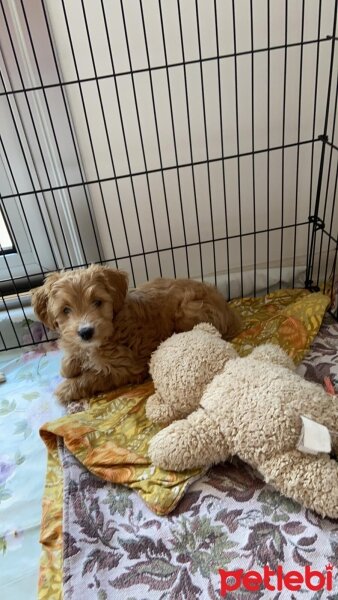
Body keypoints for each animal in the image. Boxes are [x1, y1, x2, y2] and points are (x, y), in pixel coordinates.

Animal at [30, 266, 239, 404]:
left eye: (98, 302)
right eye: (66, 310)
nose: (86, 332)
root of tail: (228, 311)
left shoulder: (125, 368)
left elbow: (94, 377)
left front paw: (67, 387)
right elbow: (71, 358)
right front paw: (69, 365)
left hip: (188, 311)